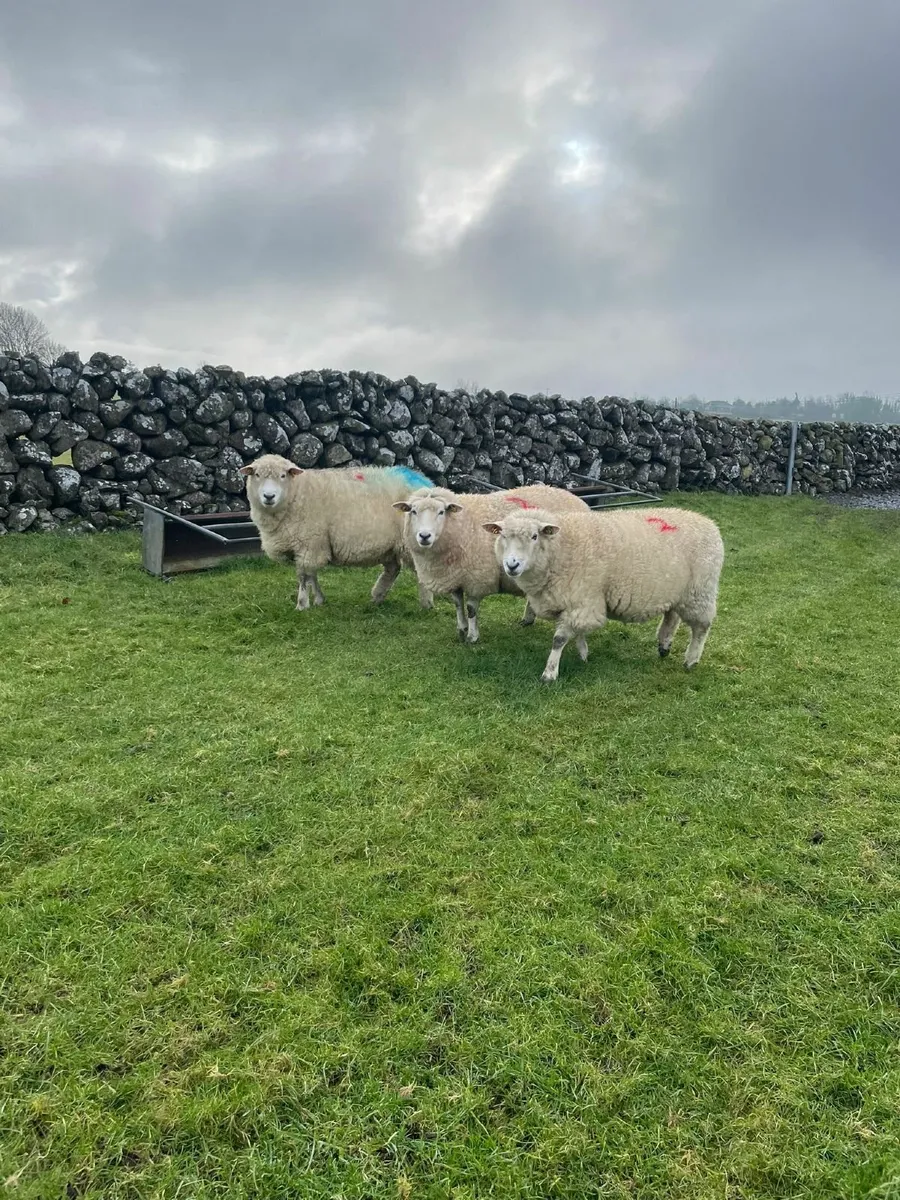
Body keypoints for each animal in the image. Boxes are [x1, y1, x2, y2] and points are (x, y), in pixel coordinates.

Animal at [240, 454, 435, 610]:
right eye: (257, 475)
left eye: (283, 475)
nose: (269, 496)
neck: (297, 493)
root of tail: (424, 481)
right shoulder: (314, 544)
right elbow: (312, 575)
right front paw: (319, 600)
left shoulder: (309, 542)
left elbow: (303, 576)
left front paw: (302, 604)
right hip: (389, 545)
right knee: (393, 569)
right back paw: (377, 597)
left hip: (412, 541)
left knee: (420, 572)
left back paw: (426, 604)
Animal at [392, 484, 591, 643]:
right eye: (413, 511)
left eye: (441, 512)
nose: (424, 536)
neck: (463, 527)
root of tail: (574, 497)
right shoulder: (455, 577)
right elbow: (458, 604)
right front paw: (461, 629)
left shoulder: (477, 579)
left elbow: (471, 609)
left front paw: (472, 637)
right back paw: (527, 619)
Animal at [482, 505, 724, 681]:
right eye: (503, 536)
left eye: (534, 536)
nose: (512, 565)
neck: (562, 549)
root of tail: (708, 522)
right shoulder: (580, 601)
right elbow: (578, 632)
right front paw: (583, 653)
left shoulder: (583, 599)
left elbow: (559, 640)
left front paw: (549, 673)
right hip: (674, 589)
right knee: (671, 615)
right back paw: (664, 645)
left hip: (699, 591)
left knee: (701, 627)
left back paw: (691, 660)